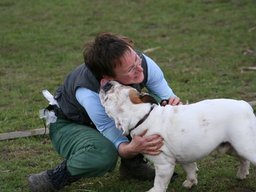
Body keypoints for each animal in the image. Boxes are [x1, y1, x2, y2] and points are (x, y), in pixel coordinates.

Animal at [98, 80, 256, 191]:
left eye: (107, 99)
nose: (107, 83)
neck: (142, 116)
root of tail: (245, 105)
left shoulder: (164, 165)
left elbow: (159, 183)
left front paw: (155, 190)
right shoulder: (184, 155)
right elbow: (190, 169)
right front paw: (190, 182)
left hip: (245, 145)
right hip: (231, 147)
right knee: (243, 159)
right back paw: (242, 174)